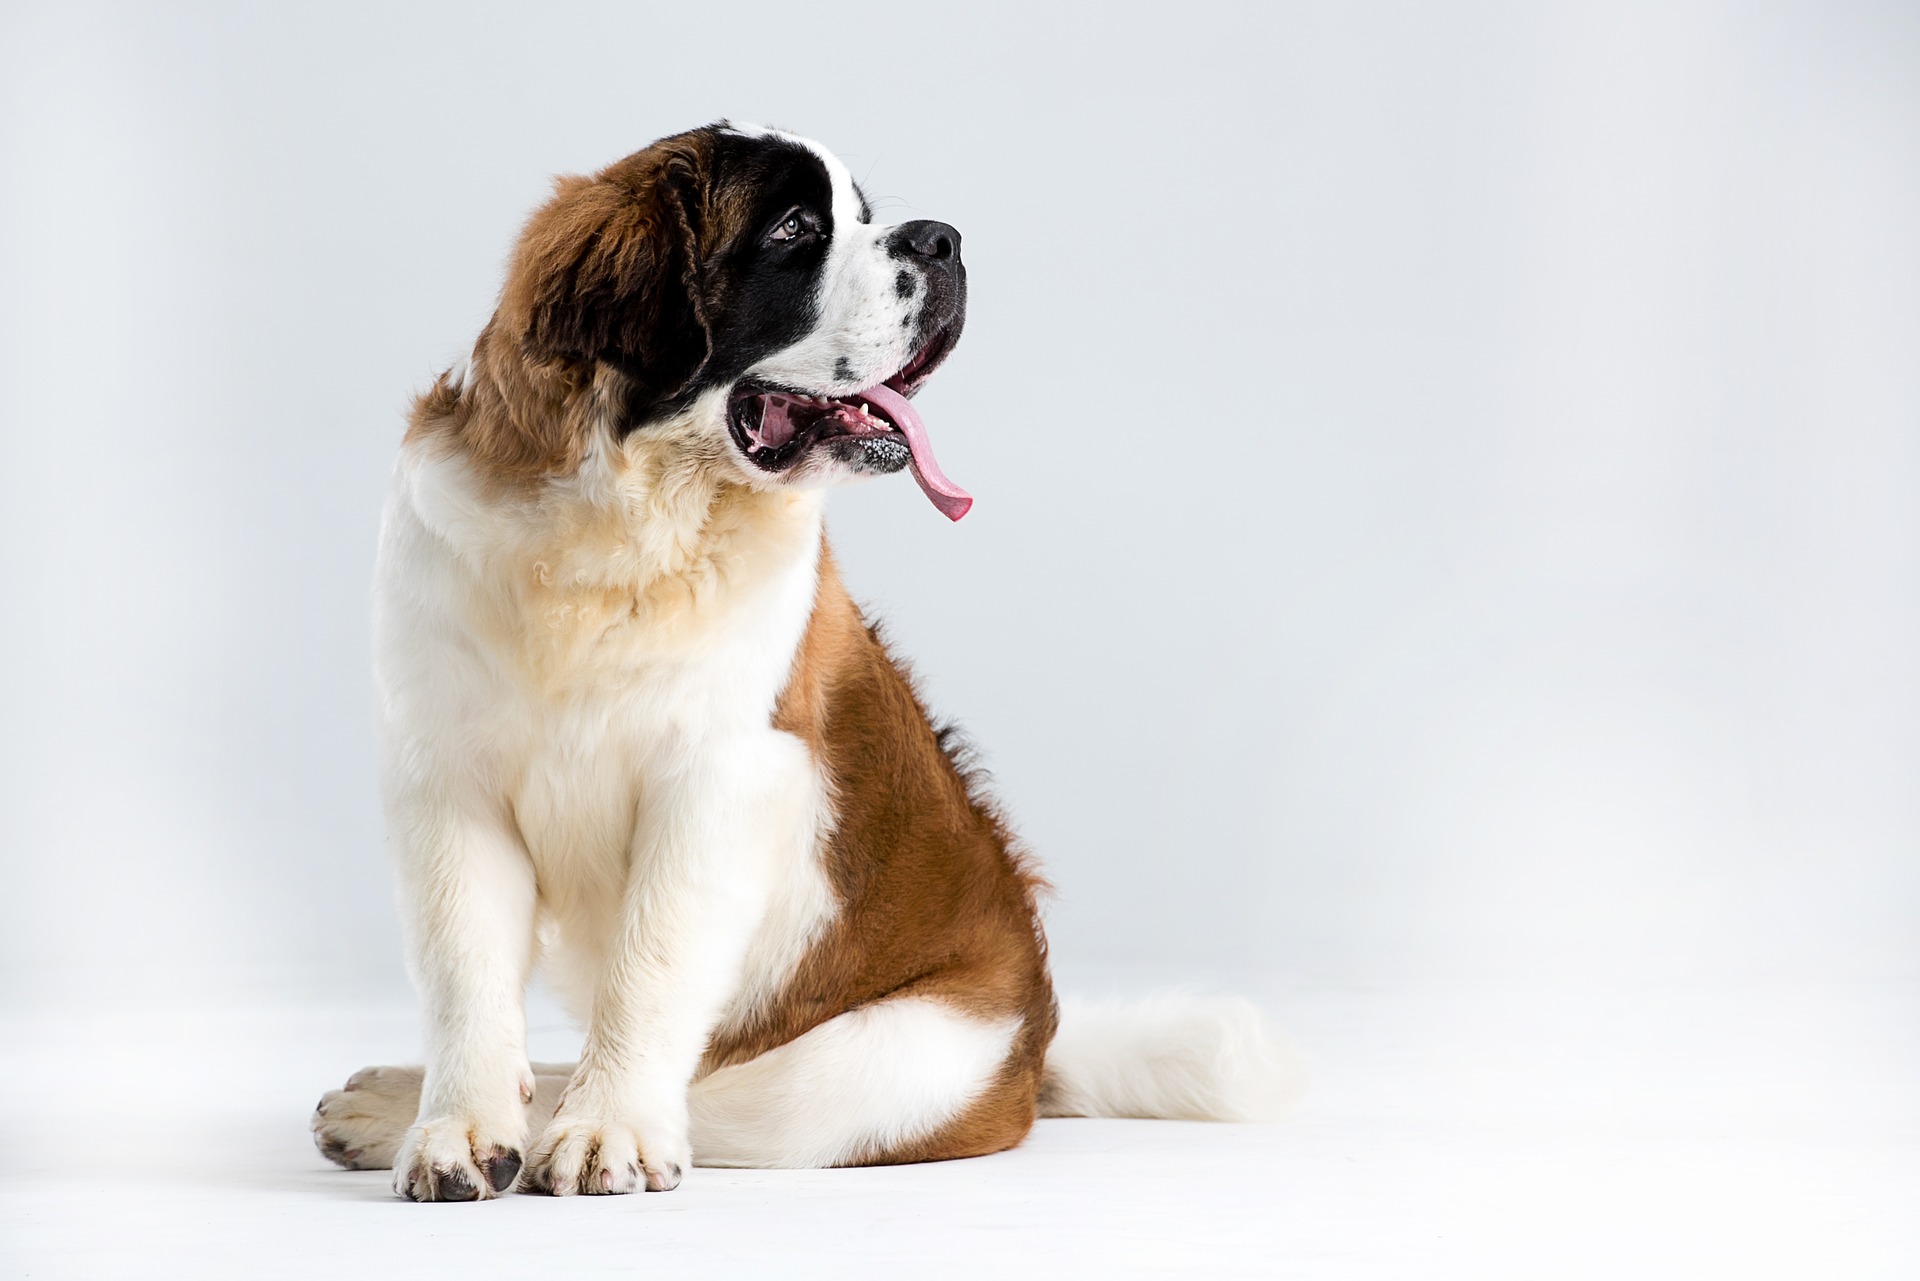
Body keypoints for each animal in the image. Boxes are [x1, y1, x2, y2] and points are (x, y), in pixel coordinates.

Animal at [311, 120, 1290, 1206]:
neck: (617, 528)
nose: (944, 239)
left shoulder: (723, 780)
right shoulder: (448, 780)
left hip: (875, 1067)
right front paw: (453, 1132)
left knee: (730, 1091)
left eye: (863, 215)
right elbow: (465, 975)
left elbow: (648, 971)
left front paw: (607, 1134)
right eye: (794, 230)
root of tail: (1039, 1050)